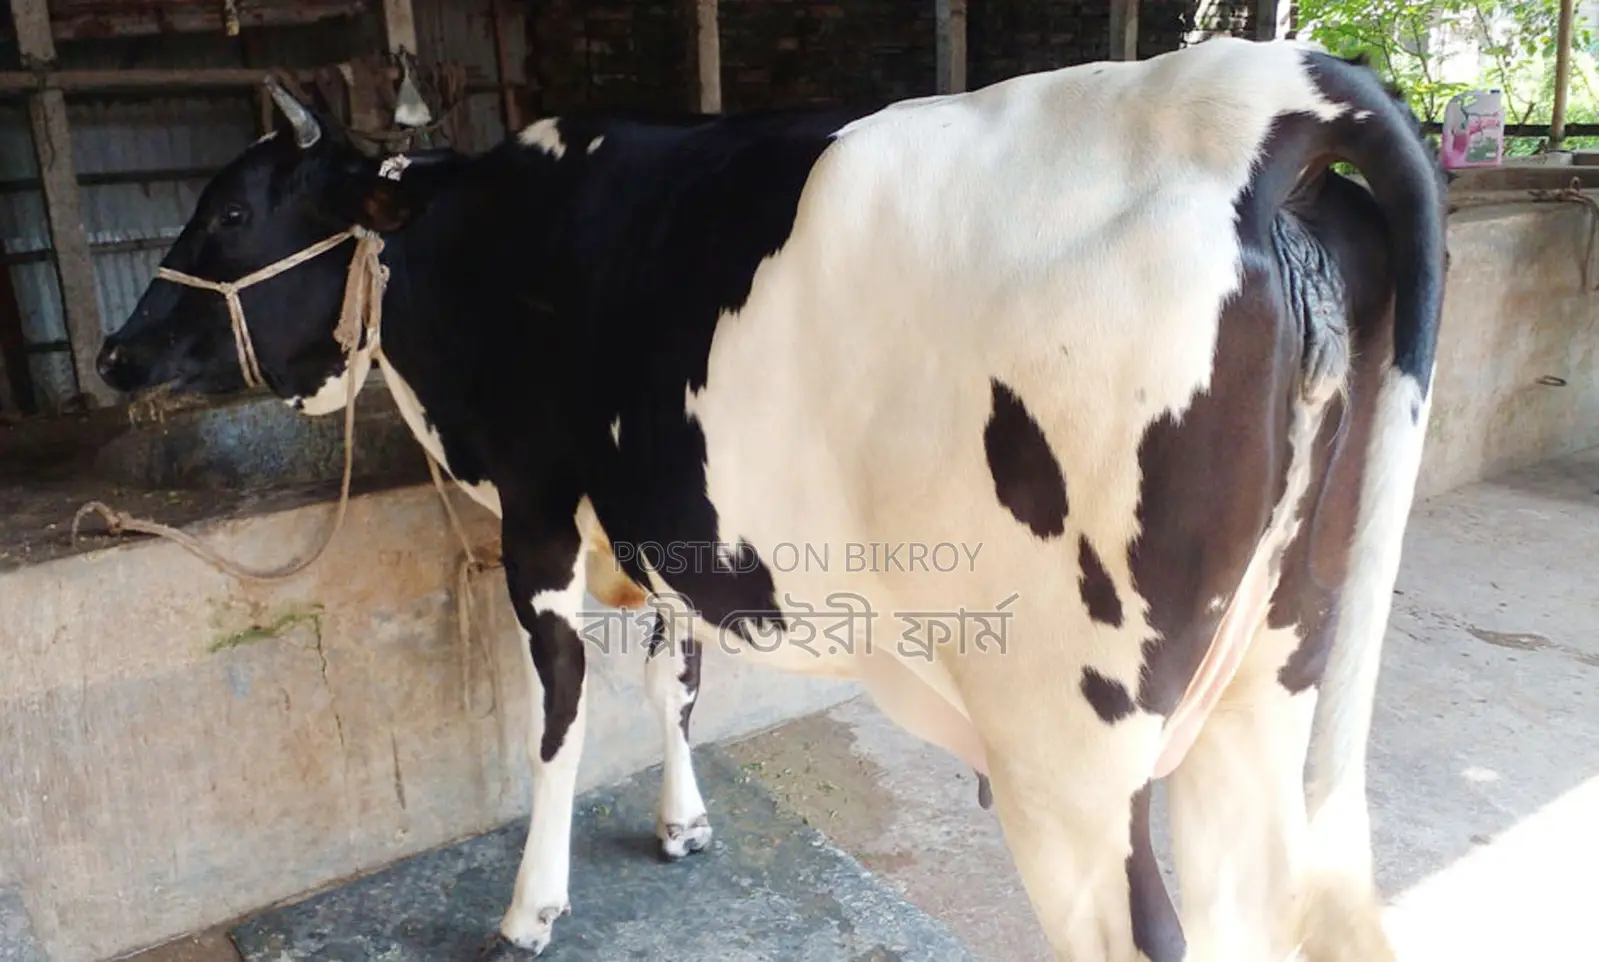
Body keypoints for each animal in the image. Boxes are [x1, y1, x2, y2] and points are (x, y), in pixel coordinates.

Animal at [95, 36, 1446, 962]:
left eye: (228, 209)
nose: (114, 354)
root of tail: (1255, 100)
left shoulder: (539, 515)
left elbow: (560, 715)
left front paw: (532, 905)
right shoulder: (670, 521)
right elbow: (674, 678)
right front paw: (684, 823)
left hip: (1074, 747)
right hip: (1271, 671)